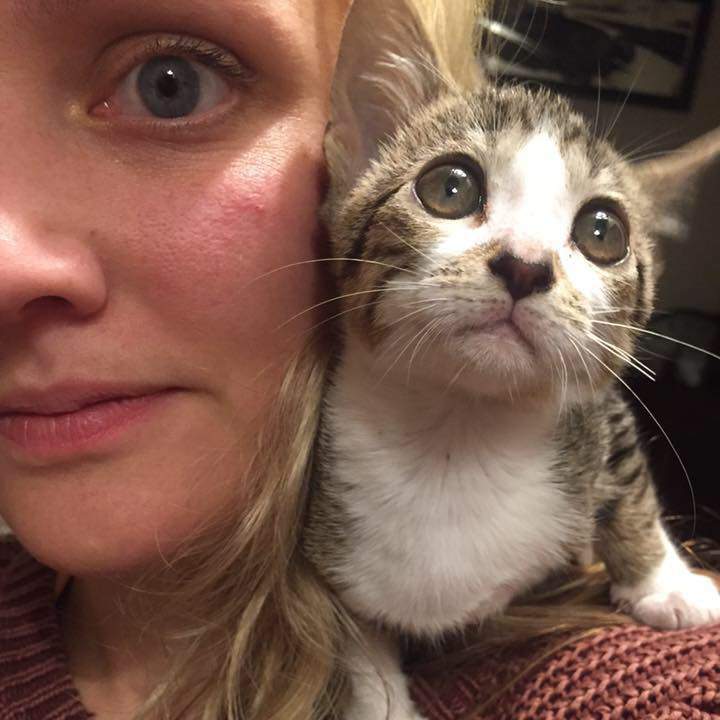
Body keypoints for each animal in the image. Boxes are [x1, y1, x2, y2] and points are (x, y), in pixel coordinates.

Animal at [302, 1, 720, 718]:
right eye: (449, 187)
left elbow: (631, 483)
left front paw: (663, 584)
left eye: (603, 231)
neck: (457, 435)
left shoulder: (601, 413)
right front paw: (380, 696)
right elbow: (349, 633)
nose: (525, 265)